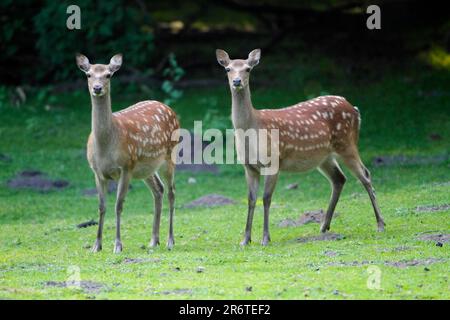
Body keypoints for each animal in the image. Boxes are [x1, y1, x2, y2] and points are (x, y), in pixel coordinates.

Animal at [75, 53, 179, 254]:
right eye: (88, 74)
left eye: (108, 75)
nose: (97, 88)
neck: (105, 147)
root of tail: (169, 108)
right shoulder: (97, 172)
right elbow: (101, 206)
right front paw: (96, 245)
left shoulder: (126, 167)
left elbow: (118, 205)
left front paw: (117, 245)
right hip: (146, 167)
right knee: (159, 190)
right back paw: (153, 240)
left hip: (169, 156)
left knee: (171, 192)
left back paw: (170, 241)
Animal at [216, 48, 384, 246]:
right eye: (228, 69)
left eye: (248, 69)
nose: (237, 81)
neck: (252, 128)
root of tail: (355, 109)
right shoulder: (249, 166)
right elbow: (251, 199)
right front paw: (246, 240)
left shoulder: (273, 161)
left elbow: (266, 198)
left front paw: (265, 239)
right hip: (325, 156)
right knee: (339, 179)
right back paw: (323, 226)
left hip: (347, 144)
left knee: (365, 175)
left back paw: (380, 224)